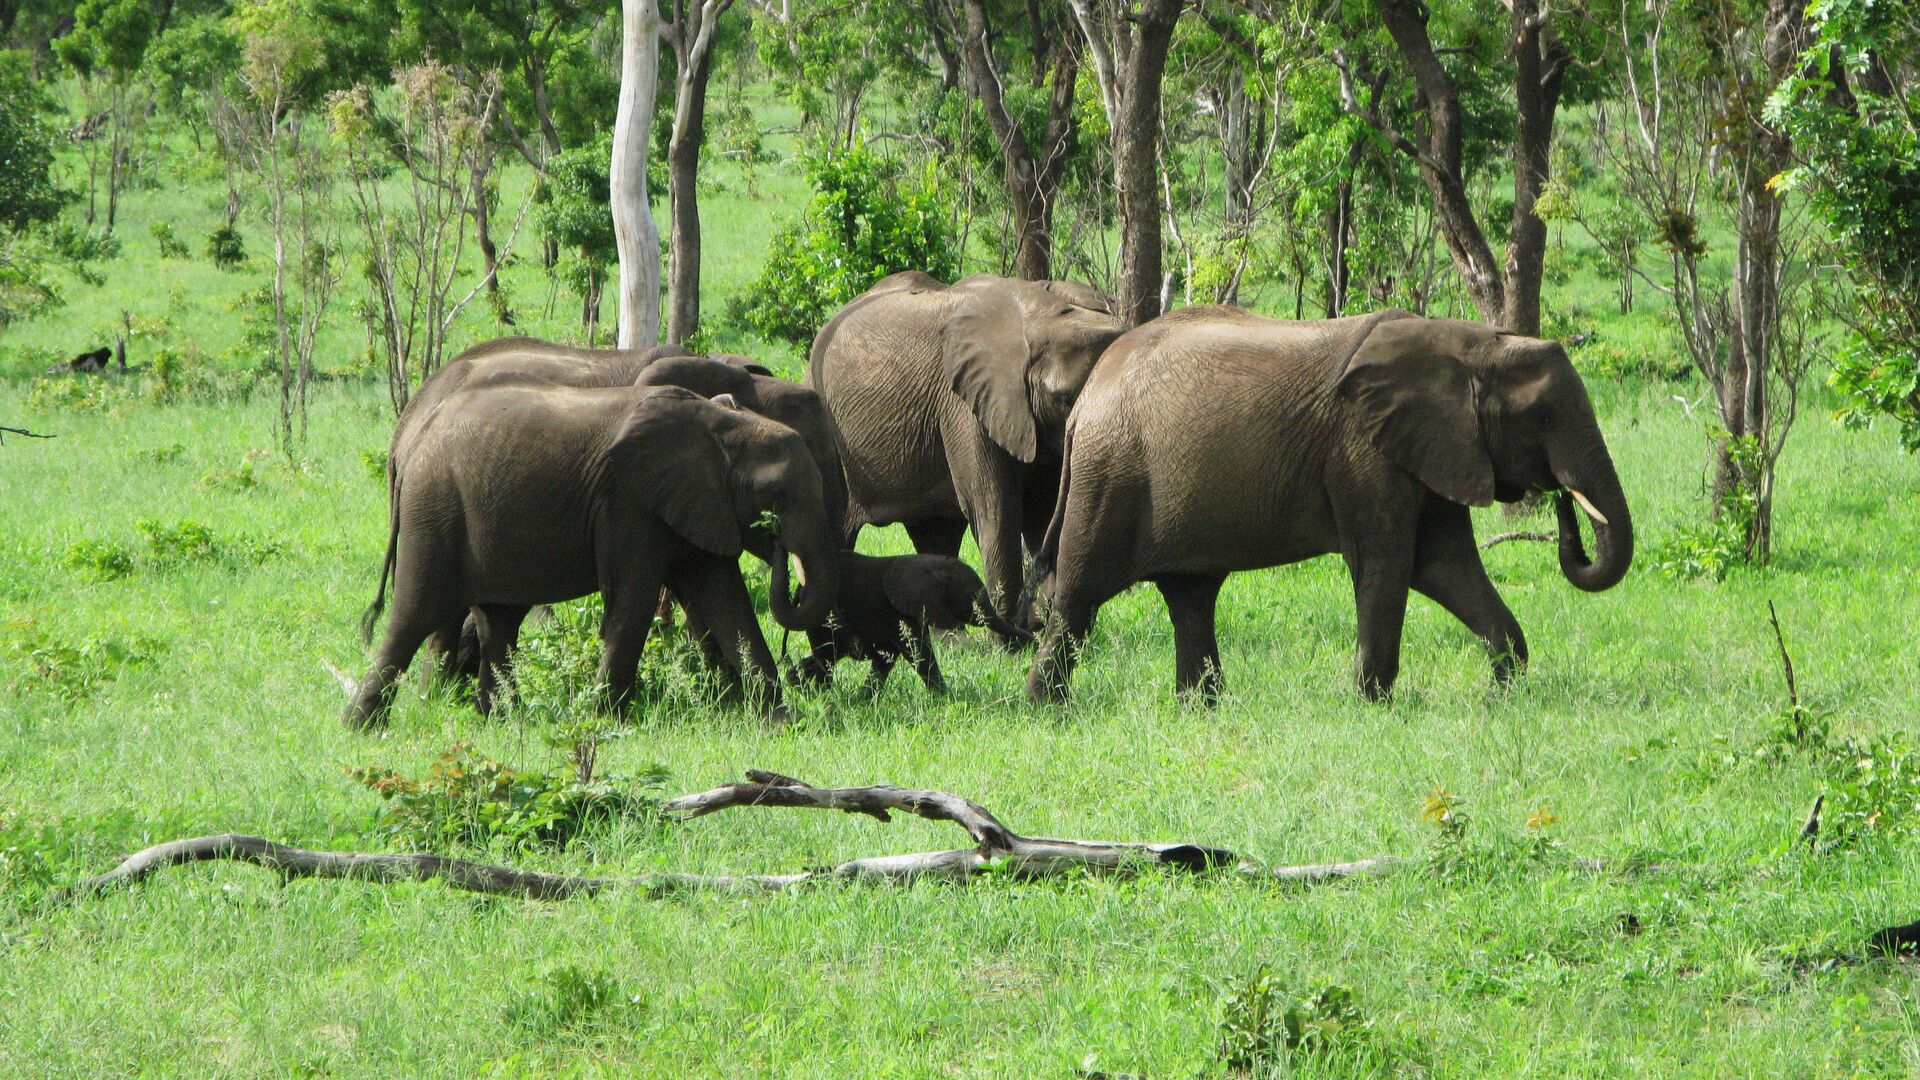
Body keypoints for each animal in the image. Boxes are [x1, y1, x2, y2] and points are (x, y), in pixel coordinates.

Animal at [347, 382, 840, 726]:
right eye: (776, 496)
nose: (778, 542)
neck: (723, 425)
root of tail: (410, 443)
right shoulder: (628, 502)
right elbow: (633, 601)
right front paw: (606, 719)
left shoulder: (700, 502)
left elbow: (726, 600)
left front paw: (781, 721)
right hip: (434, 508)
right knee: (415, 615)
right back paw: (362, 728)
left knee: (499, 621)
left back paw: (500, 721)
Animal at [787, 549, 1036, 691]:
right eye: (971, 598)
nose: (1034, 640)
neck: (931, 564)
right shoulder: (896, 613)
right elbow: (917, 651)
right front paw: (944, 697)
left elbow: (888, 656)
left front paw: (866, 700)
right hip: (822, 621)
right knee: (827, 657)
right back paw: (819, 693)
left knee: (826, 656)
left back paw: (799, 683)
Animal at [806, 270, 1121, 638]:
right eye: (1062, 398)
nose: (1031, 626)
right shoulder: (966, 404)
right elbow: (996, 509)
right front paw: (1010, 645)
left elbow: (1043, 512)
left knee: (935, 533)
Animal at [1029, 307, 1628, 703]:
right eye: (1544, 417)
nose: (1563, 499)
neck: (1467, 344)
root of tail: (1086, 400)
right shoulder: (1365, 450)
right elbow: (1388, 563)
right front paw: (1372, 706)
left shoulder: (1430, 447)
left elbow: (1446, 566)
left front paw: (1503, 693)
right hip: (1111, 474)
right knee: (1078, 597)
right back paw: (1047, 710)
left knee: (1191, 597)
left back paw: (1201, 709)